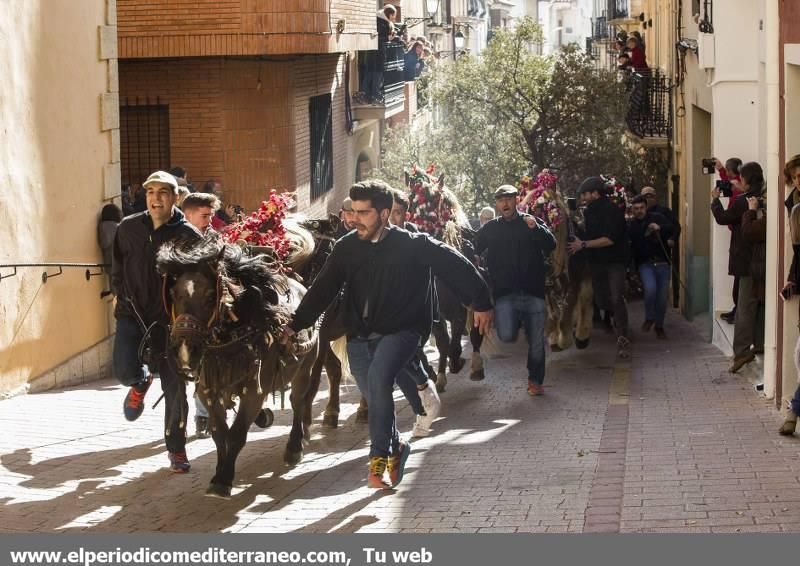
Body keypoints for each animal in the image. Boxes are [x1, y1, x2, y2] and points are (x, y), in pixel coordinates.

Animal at [156, 236, 318, 502]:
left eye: (210, 295)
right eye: (174, 293)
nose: (184, 350)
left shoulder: (254, 390)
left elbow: (237, 433)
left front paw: (223, 480)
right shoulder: (209, 390)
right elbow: (220, 434)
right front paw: (220, 472)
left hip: (304, 368)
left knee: (298, 402)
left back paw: (295, 446)